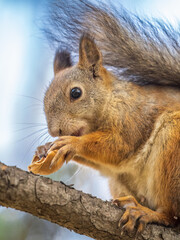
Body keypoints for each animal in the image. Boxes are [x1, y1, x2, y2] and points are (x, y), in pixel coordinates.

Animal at [34, 0, 179, 234]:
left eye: (76, 93)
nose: (55, 131)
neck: (111, 99)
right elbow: (104, 163)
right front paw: (45, 148)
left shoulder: (133, 117)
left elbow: (119, 145)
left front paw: (72, 143)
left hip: (174, 146)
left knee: (173, 216)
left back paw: (149, 214)